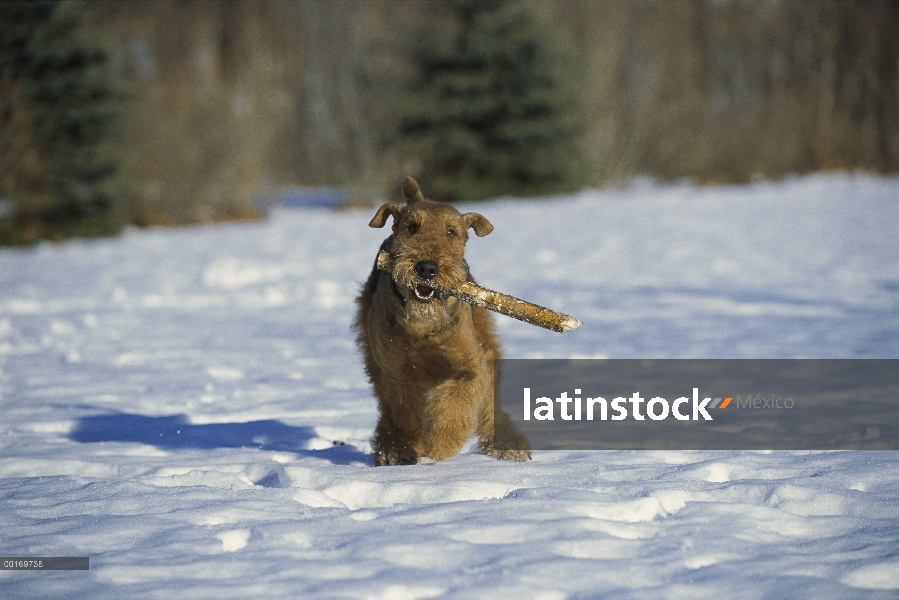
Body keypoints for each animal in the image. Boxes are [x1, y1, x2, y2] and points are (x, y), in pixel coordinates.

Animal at [356, 176, 532, 466]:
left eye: (451, 232)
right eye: (412, 228)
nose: (427, 268)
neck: (422, 324)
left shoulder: (471, 366)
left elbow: (459, 402)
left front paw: (439, 445)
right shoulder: (397, 373)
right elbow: (403, 413)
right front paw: (404, 449)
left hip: (486, 344)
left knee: (491, 401)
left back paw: (509, 445)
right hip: (373, 359)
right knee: (387, 409)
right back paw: (389, 450)